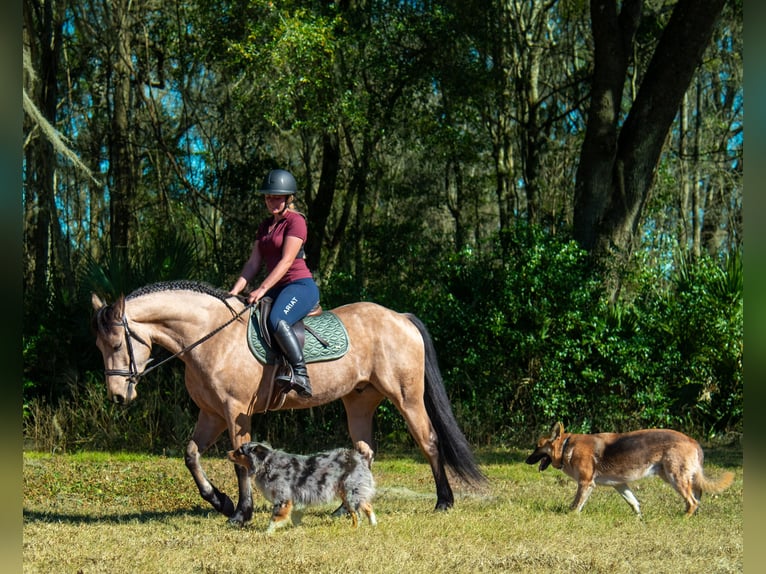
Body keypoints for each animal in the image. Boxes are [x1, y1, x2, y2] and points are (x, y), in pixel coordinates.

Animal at [91, 280, 486, 526]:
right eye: (99, 346)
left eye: (117, 344)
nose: (118, 395)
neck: (210, 336)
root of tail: (399, 317)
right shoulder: (212, 414)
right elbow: (190, 455)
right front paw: (221, 502)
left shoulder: (236, 412)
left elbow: (240, 464)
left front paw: (241, 513)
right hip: (359, 400)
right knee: (364, 451)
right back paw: (344, 509)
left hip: (406, 396)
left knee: (428, 441)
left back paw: (444, 501)